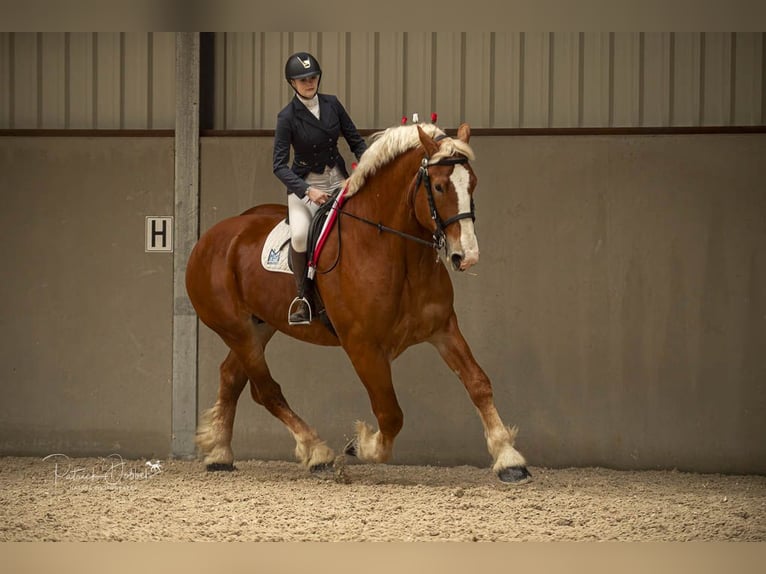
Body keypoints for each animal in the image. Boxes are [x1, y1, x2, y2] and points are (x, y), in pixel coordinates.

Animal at [186, 122, 531, 483]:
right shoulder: (363, 346)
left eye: (472, 183)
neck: (396, 254)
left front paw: (509, 459)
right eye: (438, 186)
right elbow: (390, 412)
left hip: (259, 327)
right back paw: (317, 453)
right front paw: (361, 446)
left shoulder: (443, 329)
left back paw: (220, 453)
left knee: (232, 376)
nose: (467, 256)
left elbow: (478, 383)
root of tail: (210, 238)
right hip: (236, 330)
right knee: (265, 390)